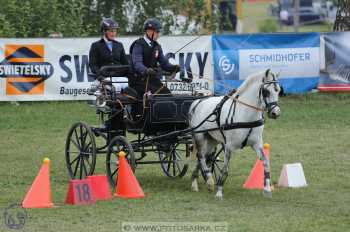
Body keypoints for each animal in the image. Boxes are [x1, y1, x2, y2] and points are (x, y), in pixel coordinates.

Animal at [189, 69, 282, 199]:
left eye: (278, 90)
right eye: (266, 91)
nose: (275, 113)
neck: (245, 114)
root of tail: (198, 102)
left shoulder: (257, 144)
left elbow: (265, 162)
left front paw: (267, 189)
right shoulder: (228, 146)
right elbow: (225, 169)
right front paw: (219, 192)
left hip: (212, 139)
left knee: (203, 156)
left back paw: (197, 182)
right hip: (200, 136)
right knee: (201, 156)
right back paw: (208, 180)